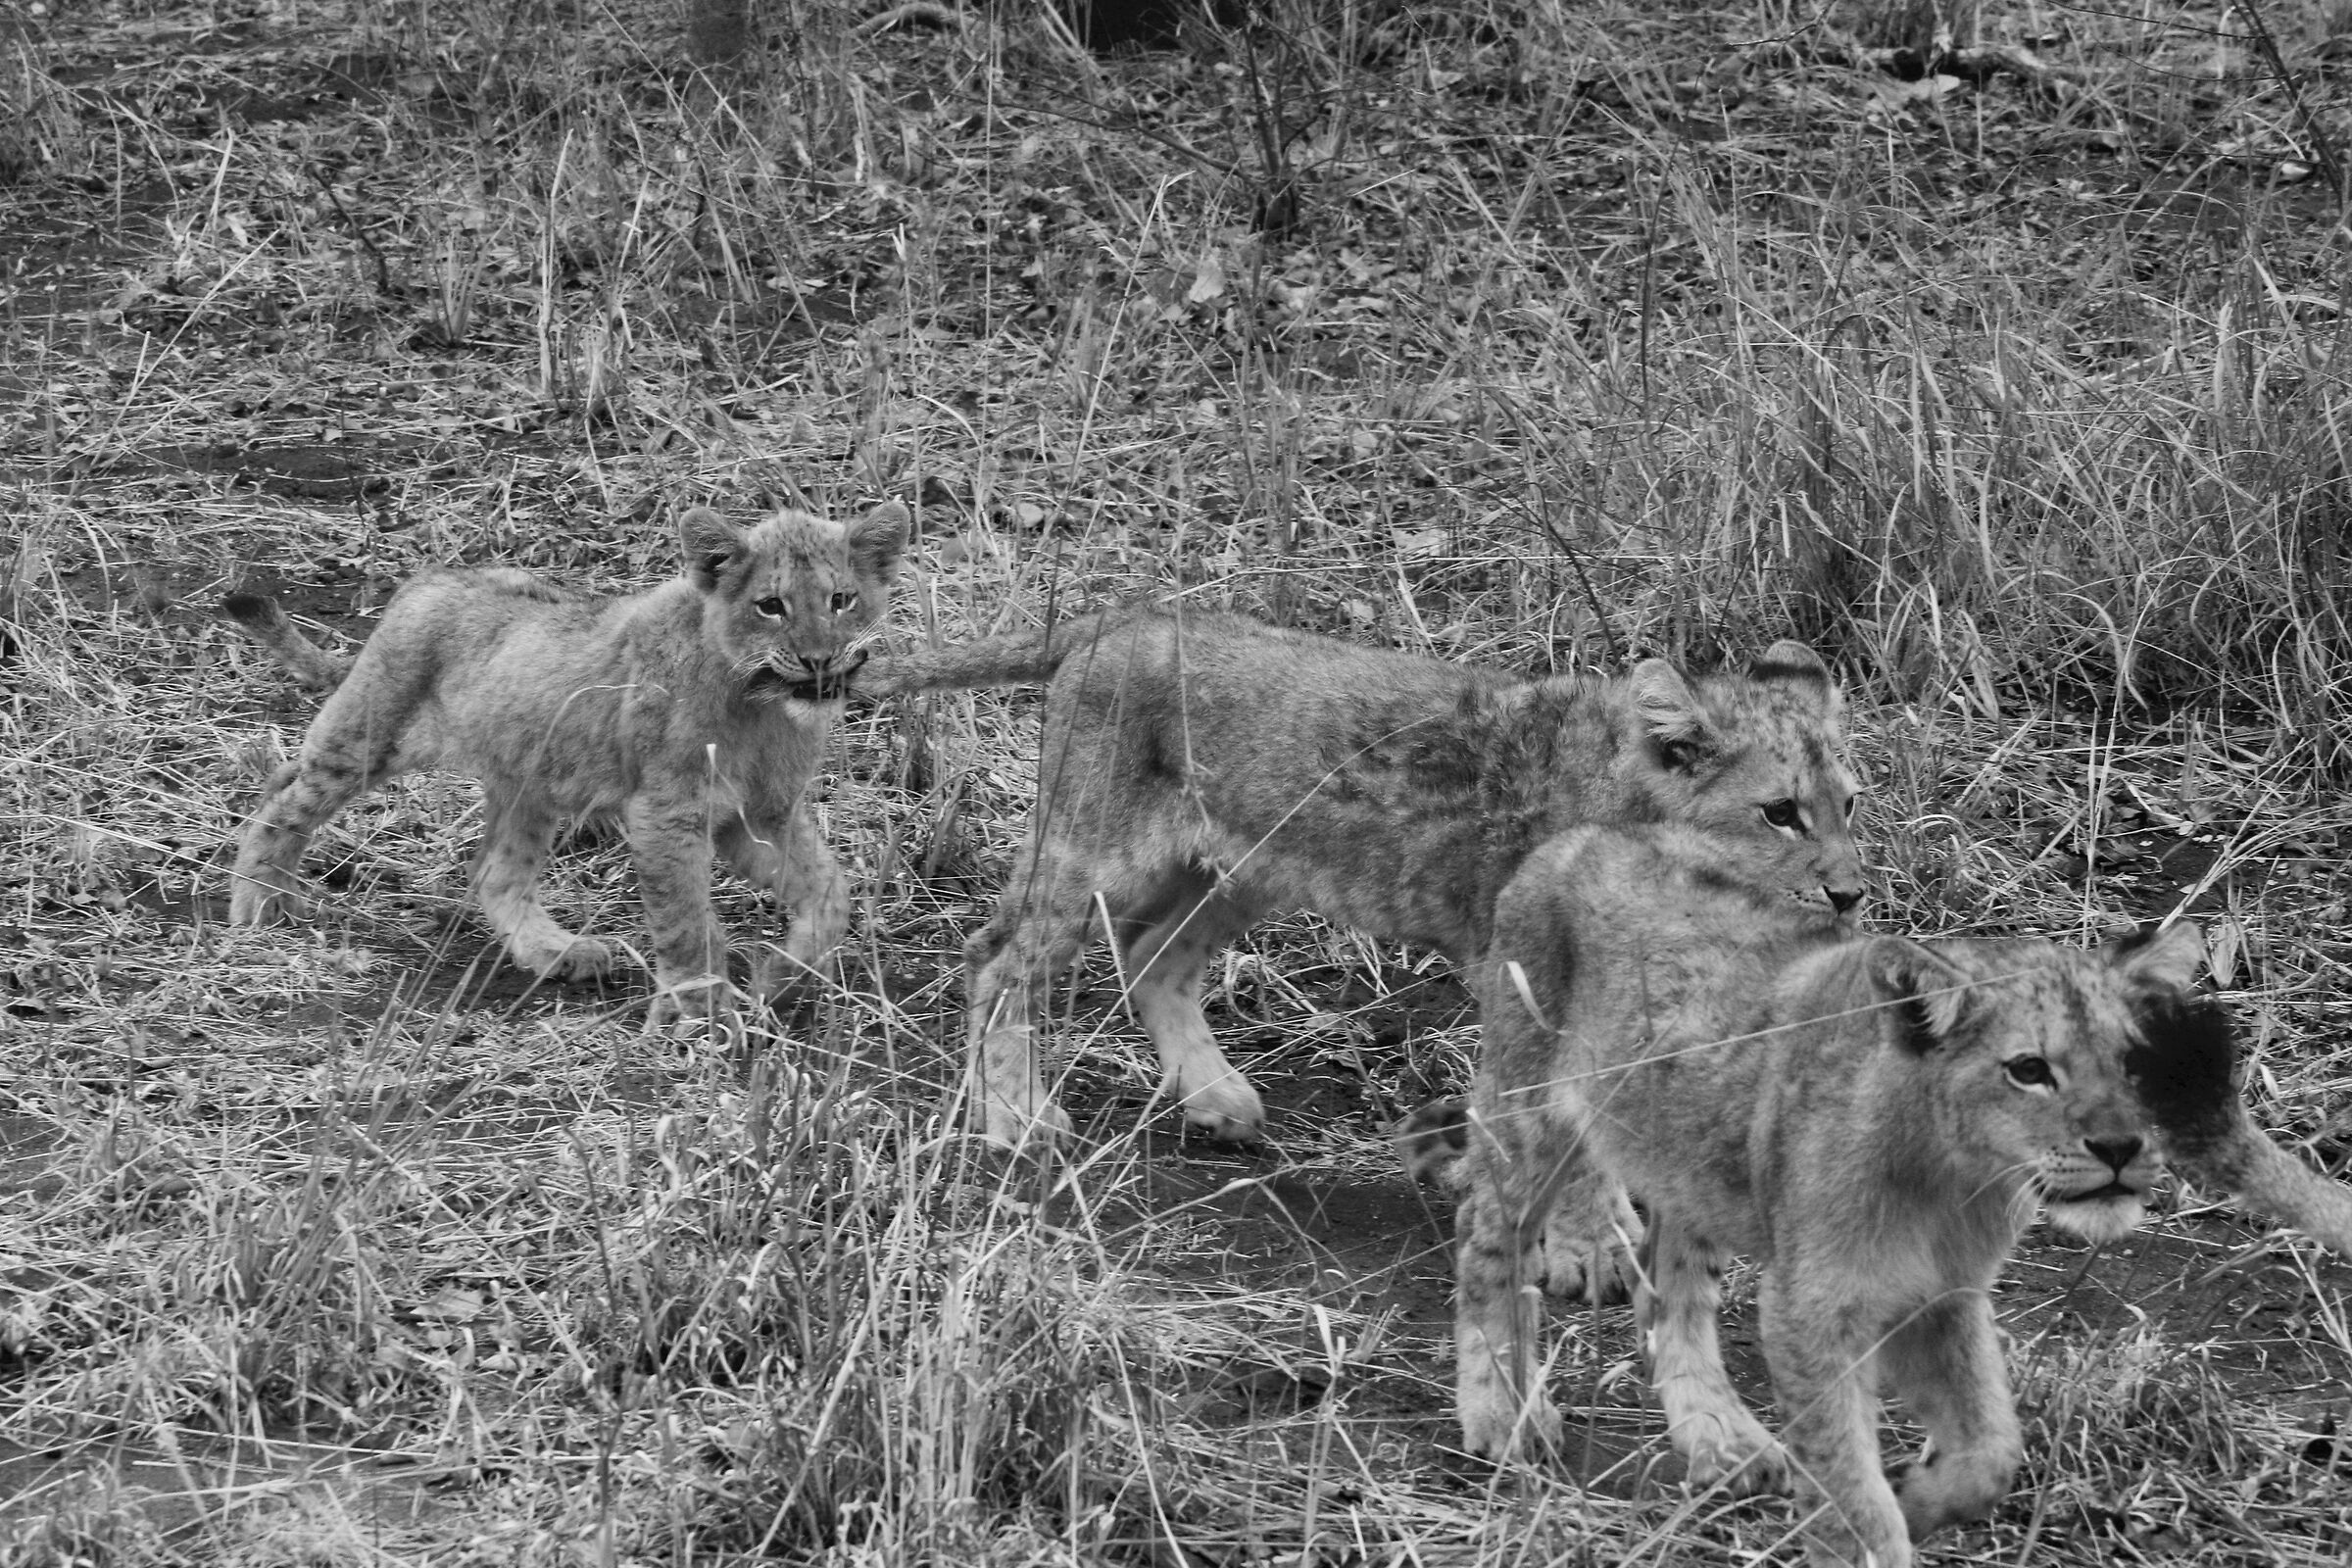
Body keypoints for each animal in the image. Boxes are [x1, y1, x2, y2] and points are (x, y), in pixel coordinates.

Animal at [222, 502, 908, 1019]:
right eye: (771, 605)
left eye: (841, 599)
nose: (819, 659)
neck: (762, 707)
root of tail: (427, 578)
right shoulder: (667, 813)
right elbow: (686, 919)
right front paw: (703, 1012)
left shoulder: (759, 815)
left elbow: (831, 892)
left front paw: (782, 976)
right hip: (369, 735)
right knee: (283, 798)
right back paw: (259, 905)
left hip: (527, 779)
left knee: (496, 872)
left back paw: (560, 953)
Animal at [852, 607, 1865, 1156]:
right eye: (1780, 813)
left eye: (1849, 805)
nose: (1852, 895)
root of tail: (1123, 617)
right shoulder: (1514, 967)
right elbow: (1537, 1105)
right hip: (1097, 849)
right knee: (996, 958)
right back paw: (1014, 1120)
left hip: (1242, 869)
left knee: (1153, 956)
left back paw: (1216, 1100)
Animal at [1447, 822, 2352, 1568]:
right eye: (2030, 1069)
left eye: (2138, 1064)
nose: (2122, 1148)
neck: (1952, 1181)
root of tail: (1578, 836)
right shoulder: (1813, 1310)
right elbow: (1849, 1487)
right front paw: (1873, 1528)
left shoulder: (1943, 1299)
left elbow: (1993, 1447)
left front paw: (1921, 1499)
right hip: (1530, 1115)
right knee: (1486, 1241)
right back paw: (1503, 1414)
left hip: (1687, 1154)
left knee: (1671, 1287)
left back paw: (1720, 1438)